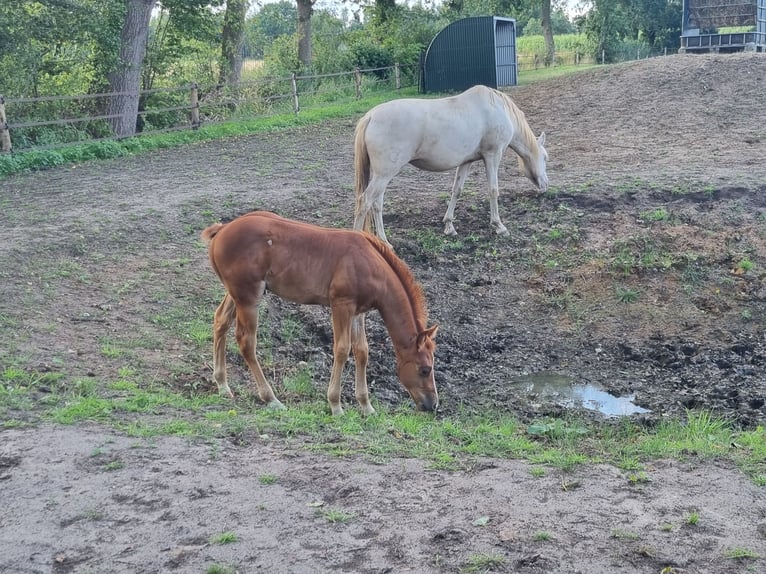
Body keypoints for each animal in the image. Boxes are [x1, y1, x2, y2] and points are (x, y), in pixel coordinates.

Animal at [200, 211, 439, 416]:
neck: (370, 263)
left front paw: (366, 406)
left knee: (220, 321)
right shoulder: (341, 304)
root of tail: (222, 229)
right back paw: (271, 398)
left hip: (236, 294)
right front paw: (335, 405)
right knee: (246, 341)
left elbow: (362, 351)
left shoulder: (358, 312)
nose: (433, 404)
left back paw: (222, 385)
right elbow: (342, 349)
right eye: (425, 369)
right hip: (248, 298)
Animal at [353, 84, 549, 244]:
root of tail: (370, 116)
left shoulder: (467, 161)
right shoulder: (493, 155)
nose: (545, 185)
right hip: (384, 174)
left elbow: (457, 190)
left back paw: (384, 242)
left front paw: (449, 226)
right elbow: (493, 190)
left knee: (377, 204)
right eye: (546, 157)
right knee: (365, 201)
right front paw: (499, 226)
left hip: (382, 175)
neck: (498, 109)